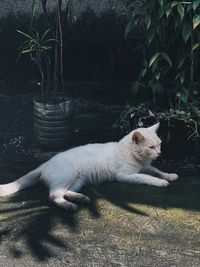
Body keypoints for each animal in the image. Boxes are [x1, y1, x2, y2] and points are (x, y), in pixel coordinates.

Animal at [0, 122, 178, 213]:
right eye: (151, 147)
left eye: (160, 144)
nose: (160, 153)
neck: (140, 160)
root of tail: (46, 162)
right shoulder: (126, 175)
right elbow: (147, 177)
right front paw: (161, 182)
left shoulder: (146, 167)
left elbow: (156, 171)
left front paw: (170, 175)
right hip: (67, 176)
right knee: (53, 196)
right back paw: (70, 206)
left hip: (78, 181)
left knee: (64, 192)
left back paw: (82, 199)